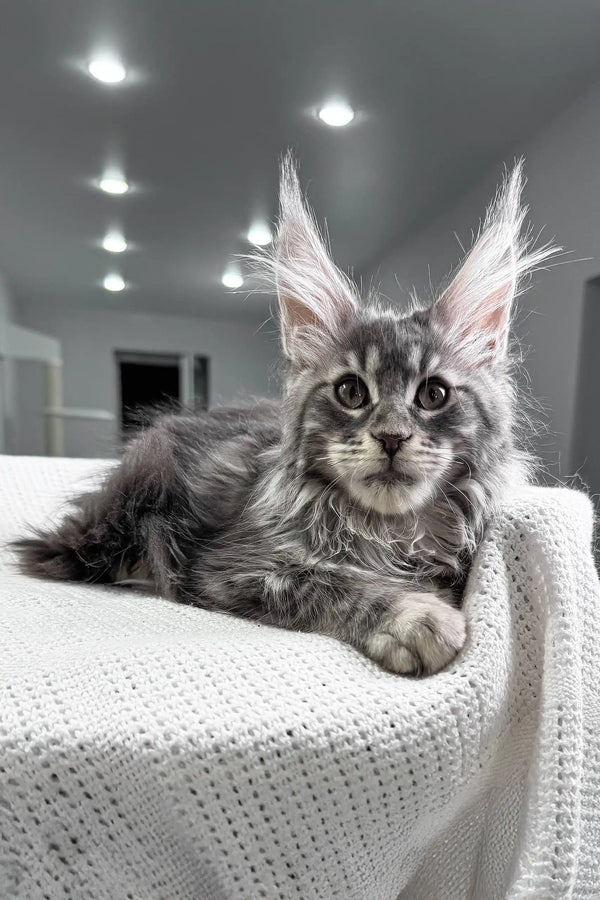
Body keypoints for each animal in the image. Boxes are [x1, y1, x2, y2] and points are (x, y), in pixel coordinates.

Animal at [14, 156, 556, 676]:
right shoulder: (233, 568)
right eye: (351, 392)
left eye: (433, 394)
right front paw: (414, 616)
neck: (387, 531)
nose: (391, 437)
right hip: (121, 519)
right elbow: (329, 584)